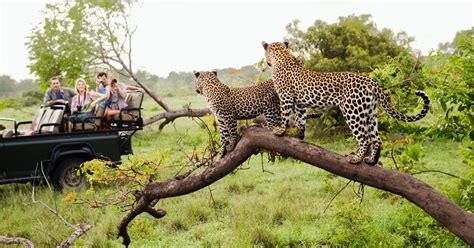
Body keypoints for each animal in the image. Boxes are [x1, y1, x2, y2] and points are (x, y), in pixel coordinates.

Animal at [262, 40, 432, 165]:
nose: (267, 62)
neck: (282, 56)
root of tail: (372, 81)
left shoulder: (285, 96)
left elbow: (285, 115)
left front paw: (280, 130)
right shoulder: (300, 103)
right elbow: (301, 119)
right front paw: (299, 135)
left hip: (352, 111)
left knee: (365, 138)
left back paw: (356, 159)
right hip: (370, 113)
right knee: (377, 139)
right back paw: (371, 160)